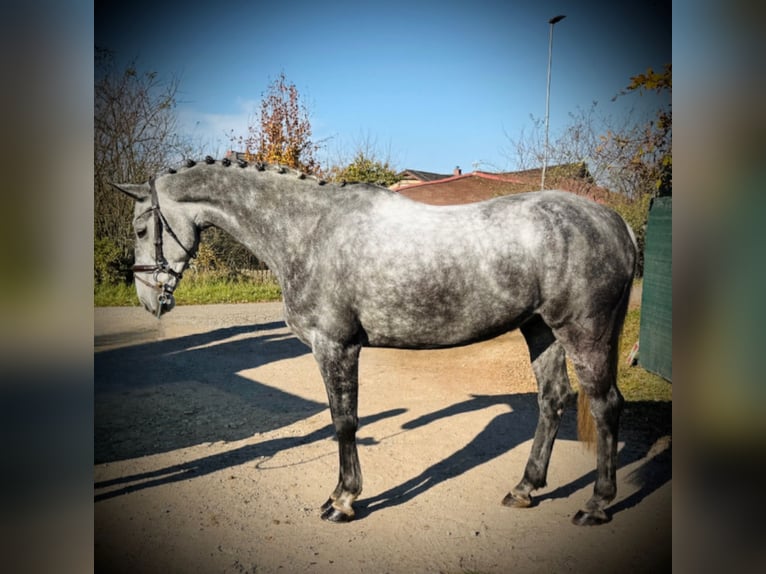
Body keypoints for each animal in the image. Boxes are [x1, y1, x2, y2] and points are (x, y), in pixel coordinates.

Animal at [114, 158, 640, 528]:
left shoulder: (335, 347)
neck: (310, 230)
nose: (148, 300)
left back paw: (596, 504)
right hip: (541, 330)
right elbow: (342, 421)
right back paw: (525, 488)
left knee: (606, 405)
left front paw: (343, 500)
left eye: (141, 229)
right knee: (553, 400)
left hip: (584, 334)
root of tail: (615, 221)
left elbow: (344, 422)